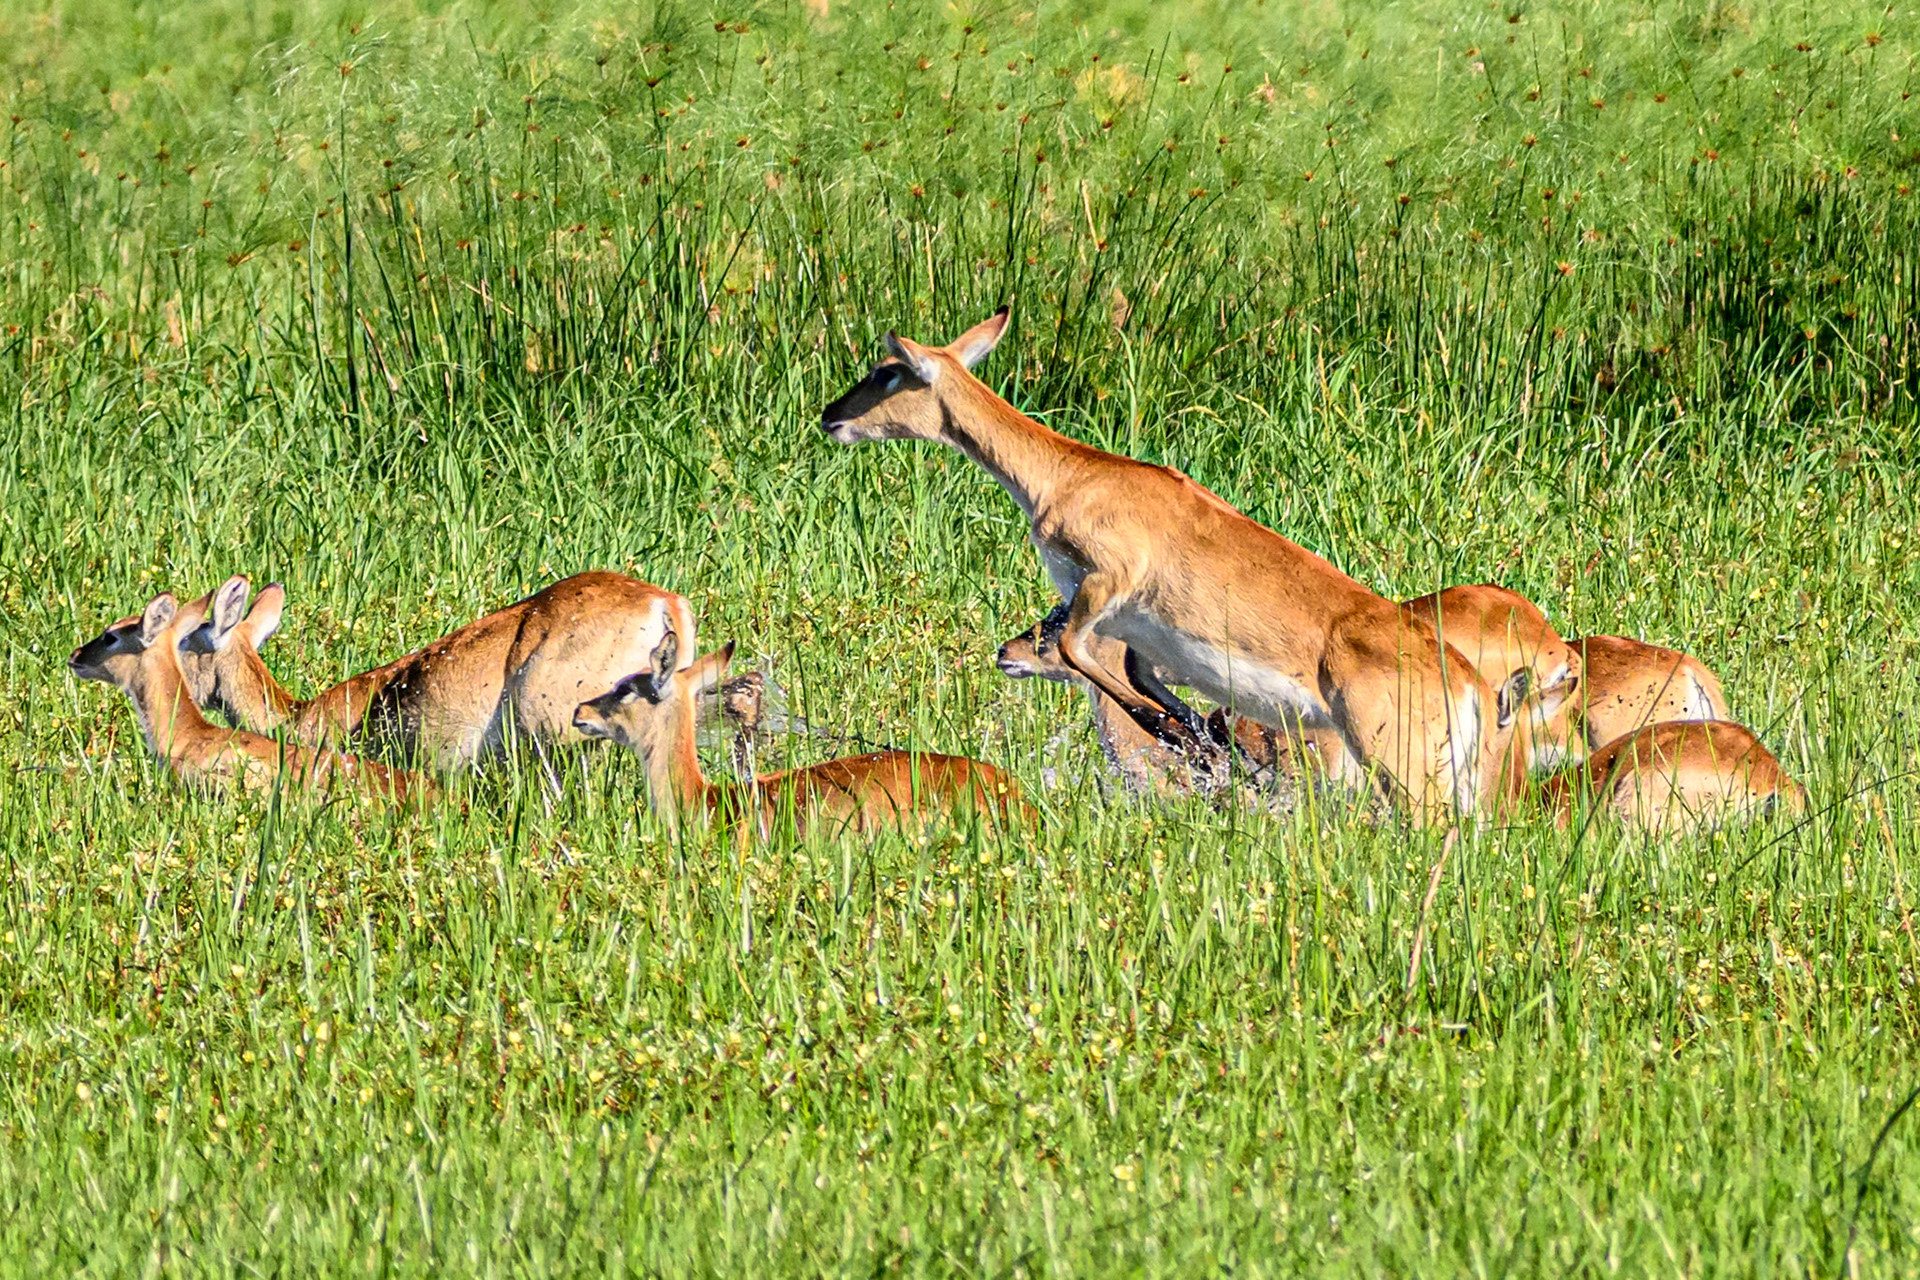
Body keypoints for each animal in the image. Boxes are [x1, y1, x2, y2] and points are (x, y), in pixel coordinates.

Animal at [821, 307, 1499, 821]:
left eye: (887, 370)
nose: (830, 415)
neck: (1066, 476)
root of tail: (1468, 683)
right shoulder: (1136, 640)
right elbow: (1158, 697)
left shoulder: (1101, 589)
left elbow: (1085, 661)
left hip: (1405, 771)